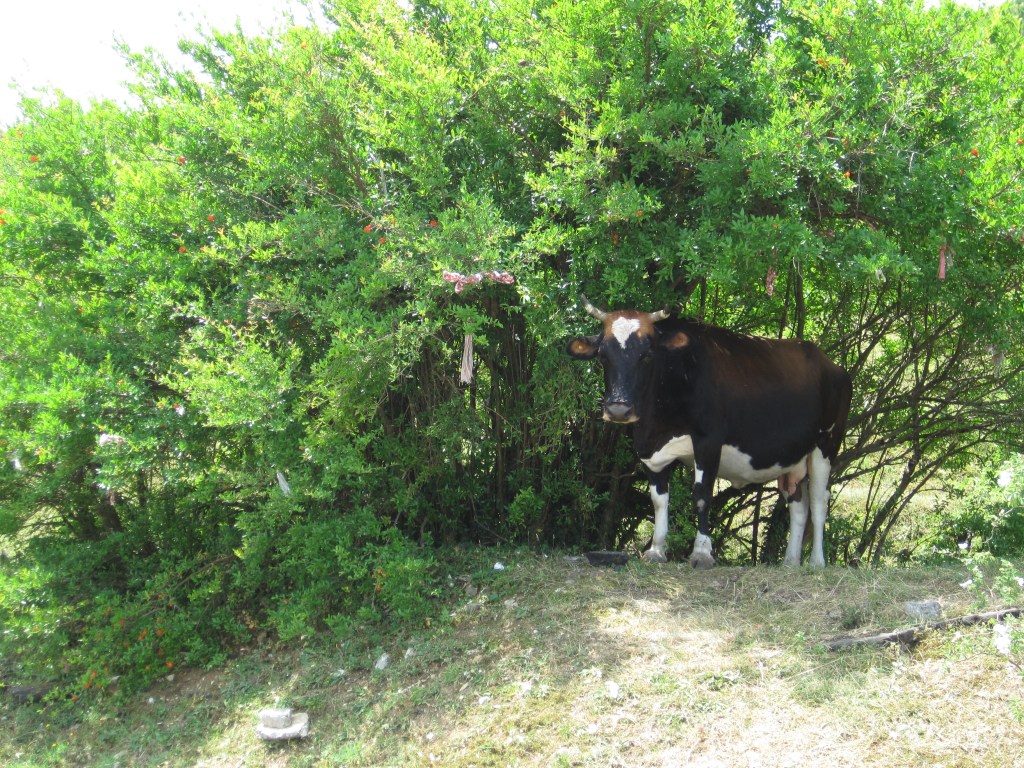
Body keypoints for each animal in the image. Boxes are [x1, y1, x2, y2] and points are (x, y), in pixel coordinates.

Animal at [568, 297, 852, 568]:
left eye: (646, 354)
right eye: (603, 355)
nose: (618, 408)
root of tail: (832, 364)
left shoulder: (708, 441)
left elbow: (702, 495)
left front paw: (702, 552)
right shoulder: (650, 450)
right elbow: (659, 499)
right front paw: (657, 550)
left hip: (826, 446)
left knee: (818, 501)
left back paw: (816, 562)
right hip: (792, 459)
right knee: (798, 506)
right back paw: (790, 563)